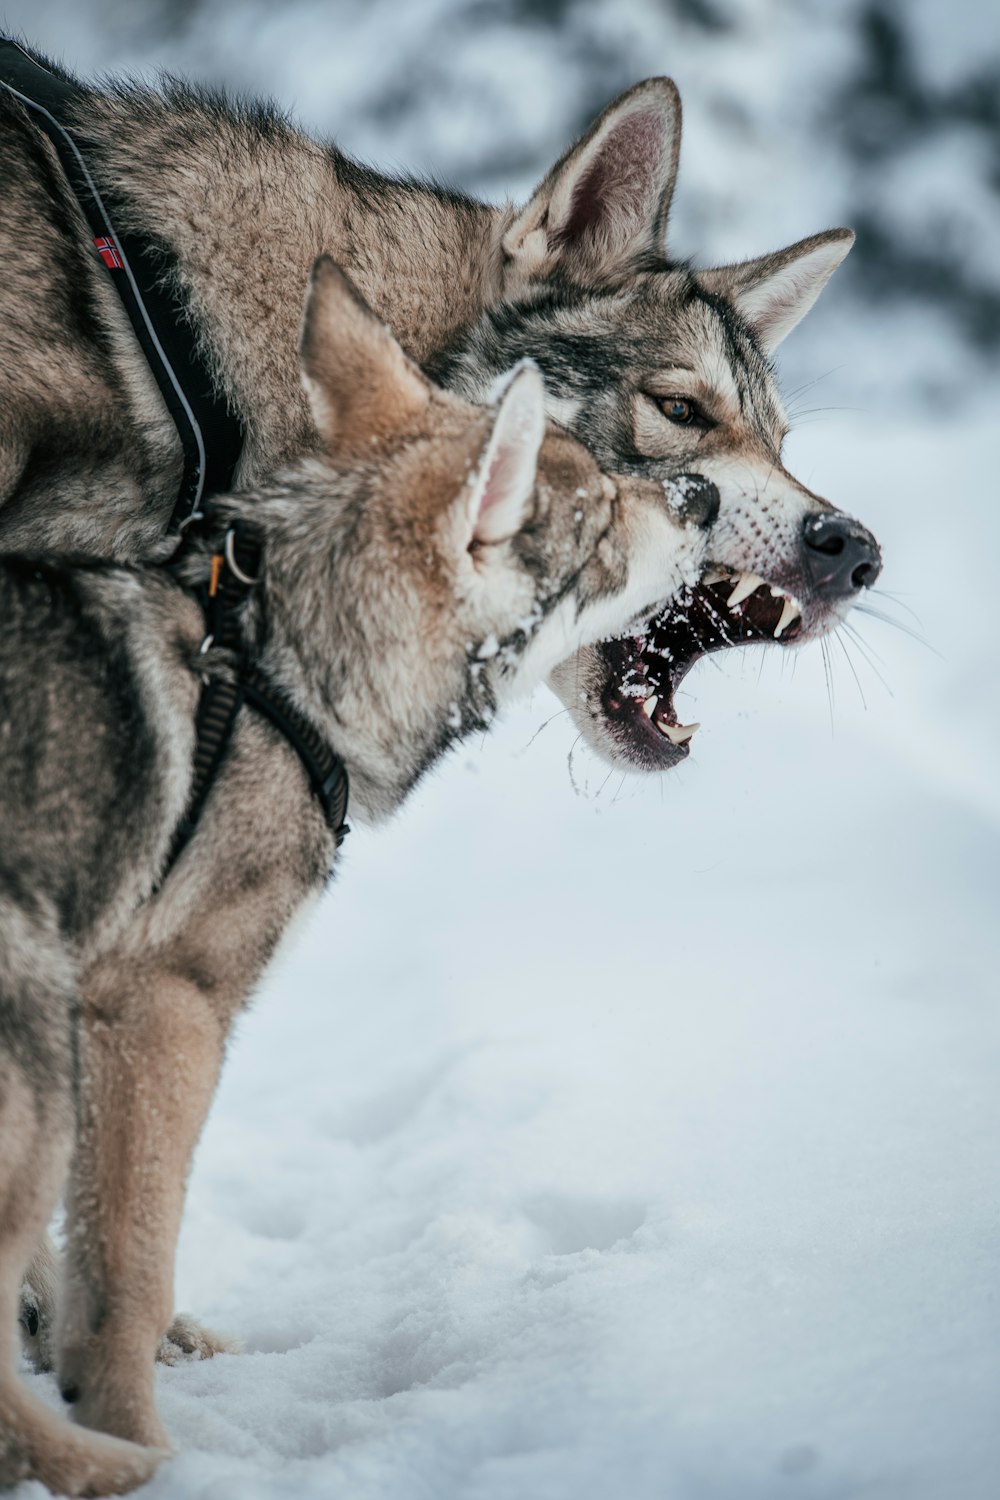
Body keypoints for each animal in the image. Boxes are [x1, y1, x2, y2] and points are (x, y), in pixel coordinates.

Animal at [0, 264, 719, 1494]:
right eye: (599, 516)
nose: (705, 498)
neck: (279, 672)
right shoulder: (159, 1011)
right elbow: (127, 1278)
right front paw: (144, 1438)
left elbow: (88, 1265)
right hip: (36, 1056)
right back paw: (110, 1467)